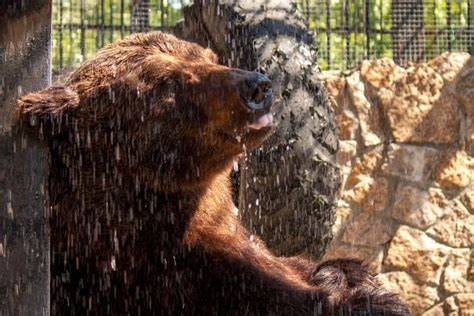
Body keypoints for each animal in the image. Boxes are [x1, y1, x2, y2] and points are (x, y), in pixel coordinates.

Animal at [15, 32, 408, 316]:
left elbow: (303, 264)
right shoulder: (163, 276)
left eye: (209, 58)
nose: (258, 86)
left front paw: (340, 274)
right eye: (166, 82)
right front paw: (368, 302)